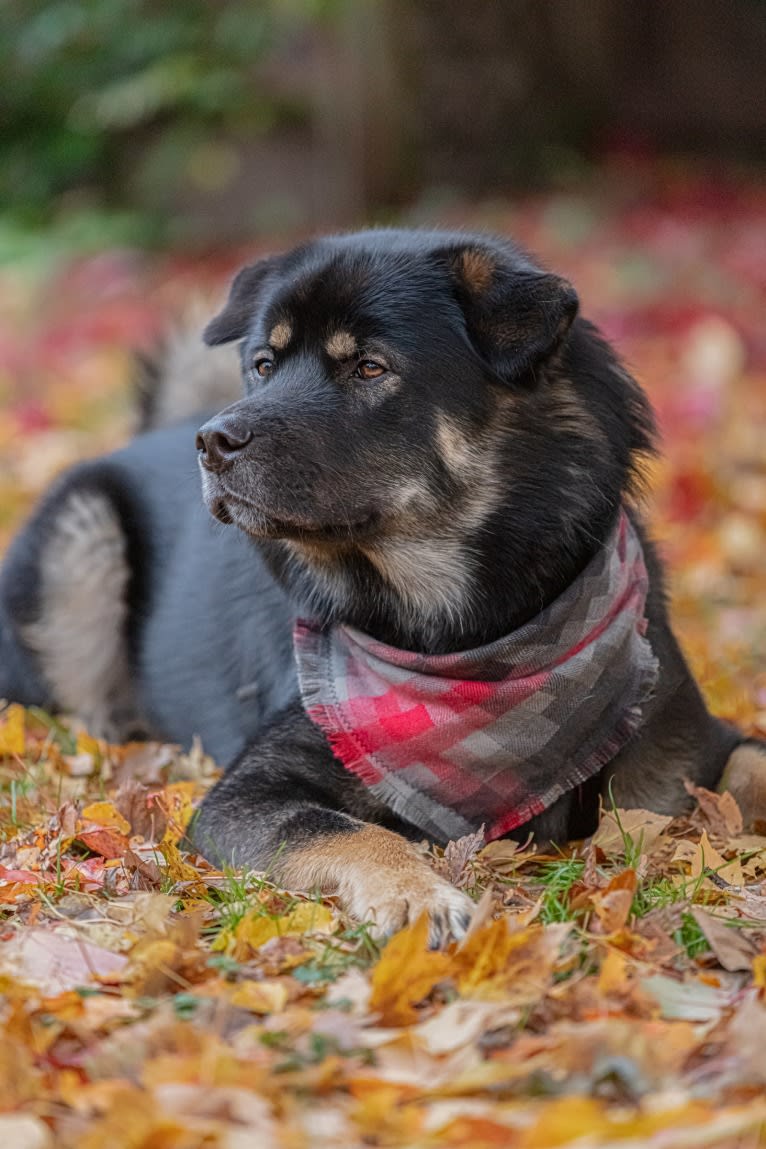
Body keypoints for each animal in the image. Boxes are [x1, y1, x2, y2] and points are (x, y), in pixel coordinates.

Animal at [2, 226, 762, 942]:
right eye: (264, 365)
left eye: (369, 367)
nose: (213, 442)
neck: (463, 630)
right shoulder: (247, 793)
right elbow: (352, 829)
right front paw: (417, 895)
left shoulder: (684, 752)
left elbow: (747, 763)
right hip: (83, 540)